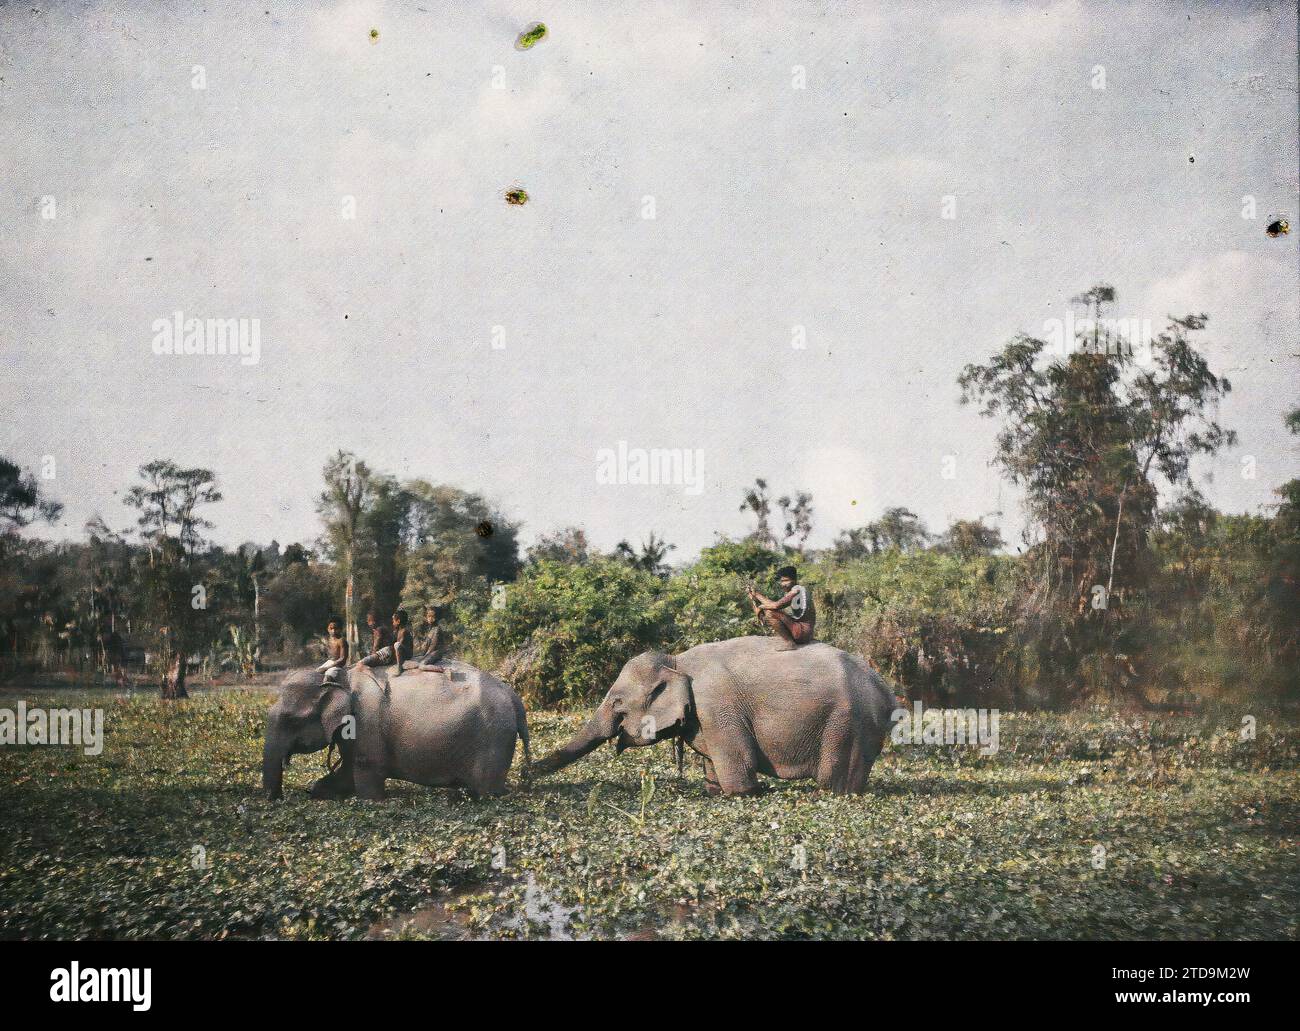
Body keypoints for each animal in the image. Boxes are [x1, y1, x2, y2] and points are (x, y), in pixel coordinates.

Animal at [261, 663, 530, 800]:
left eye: (290, 720)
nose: (276, 799)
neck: (342, 679)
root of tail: (514, 696)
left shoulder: (366, 726)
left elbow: (366, 772)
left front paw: (372, 801)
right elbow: (346, 771)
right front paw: (317, 790)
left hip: (494, 738)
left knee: (488, 789)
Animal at [533, 634, 899, 795]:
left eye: (617, 703)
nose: (524, 774)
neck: (676, 660)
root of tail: (886, 688)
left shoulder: (716, 707)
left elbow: (739, 763)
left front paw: (744, 793)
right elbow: (711, 761)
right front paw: (713, 790)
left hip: (848, 723)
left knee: (835, 781)